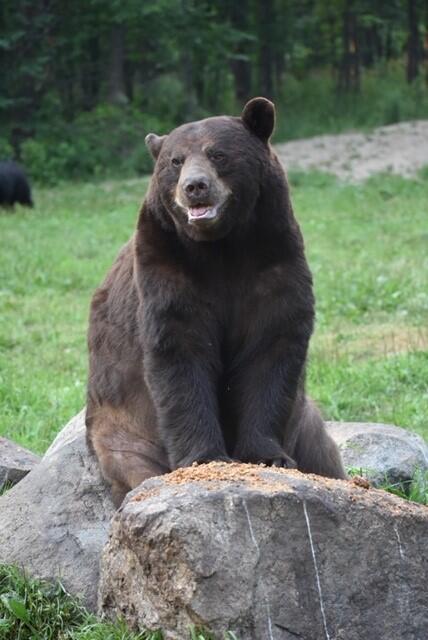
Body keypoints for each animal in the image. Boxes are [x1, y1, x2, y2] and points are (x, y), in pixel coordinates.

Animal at [86, 97, 346, 506]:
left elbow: (270, 348)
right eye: (175, 161)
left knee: (324, 457)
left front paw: (268, 455)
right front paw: (205, 457)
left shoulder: (274, 261)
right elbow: (181, 354)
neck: (223, 248)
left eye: (218, 153)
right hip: (123, 434)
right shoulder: (167, 268)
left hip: (307, 426)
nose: (195, 186)